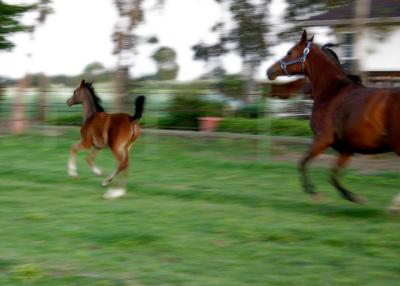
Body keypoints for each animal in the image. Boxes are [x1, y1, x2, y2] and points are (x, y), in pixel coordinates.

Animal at [268, 30, 400, 211]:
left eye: (290, 52)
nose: (269, 71)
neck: (332, 92)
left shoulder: (323, 139)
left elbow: (302, 164)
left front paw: (315, 195)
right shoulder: (346, 149)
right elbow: (333, 176)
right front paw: (355, 197)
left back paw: (394, 205)